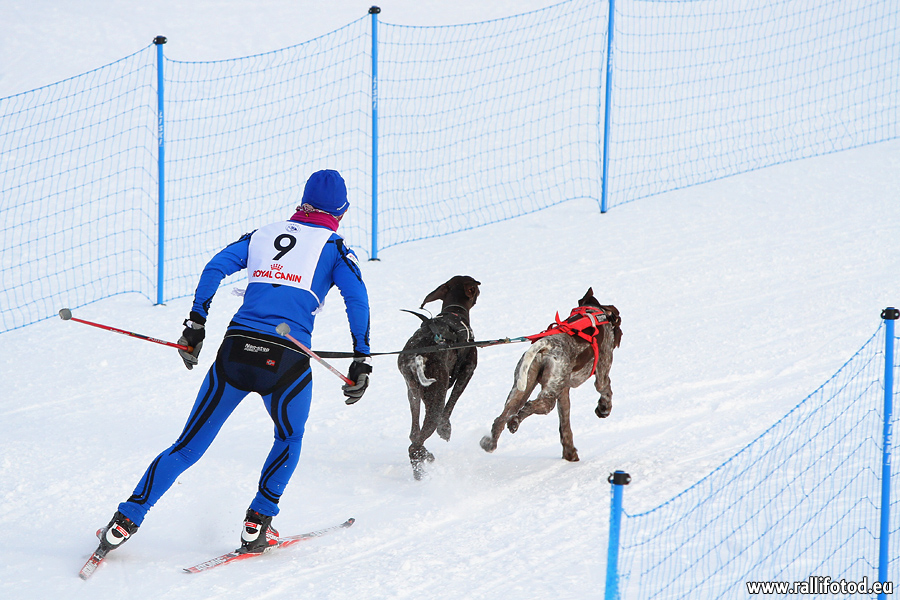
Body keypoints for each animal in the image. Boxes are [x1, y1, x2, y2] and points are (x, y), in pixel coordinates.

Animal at [398, 276, 481, 480]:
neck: (455, 313)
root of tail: (417, 357)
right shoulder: (467, 370)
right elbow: (451, 403)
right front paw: (445, 429)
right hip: (435, 395)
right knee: (414, 445)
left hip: (413, 393)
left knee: (414, 436)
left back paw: (425, 459)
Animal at [480, 288, 621, 462]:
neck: (594, 311)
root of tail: (546, 346)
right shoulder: (602, 370)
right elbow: (605, 390)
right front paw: (603, 409)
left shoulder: (563, 391)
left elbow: (565, 426)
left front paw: (569, 453)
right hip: (548, 394)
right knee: (533, 406)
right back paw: (515, 422)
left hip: (522, 386)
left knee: (501, 418)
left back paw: (490, 443)